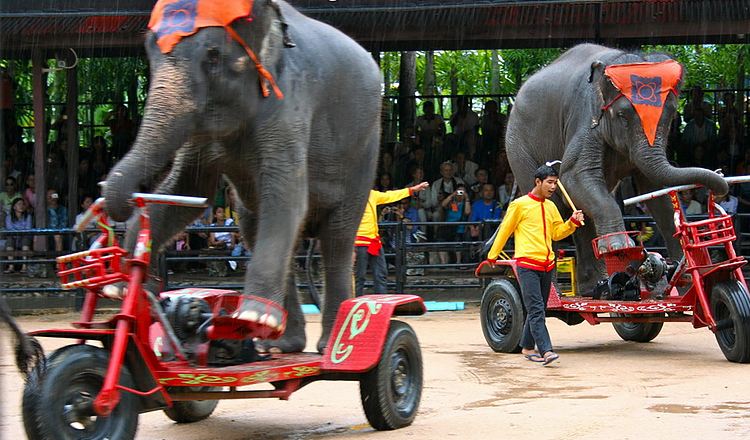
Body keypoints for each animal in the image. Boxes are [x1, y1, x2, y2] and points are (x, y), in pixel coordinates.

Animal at [102, 0, 382, 353]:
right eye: (150, 52)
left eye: (213, 56)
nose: (114, 196)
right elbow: (186, 190)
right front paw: (120, 289)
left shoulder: (289, 104)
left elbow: (287, 199)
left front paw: (251, 316)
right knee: (255, 226)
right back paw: (280, 344)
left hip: (364, 152)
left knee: (337, 239)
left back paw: (325, 344)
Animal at [505, 43, 728, 295]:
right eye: (622, 115)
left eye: (671, 115)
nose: (720, 178)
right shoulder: (586, 118)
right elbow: (573, 176)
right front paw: (621, 248)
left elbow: (656, 189)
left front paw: (688, 278)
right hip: (519, 147)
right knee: (551, 205)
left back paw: (594, 289)